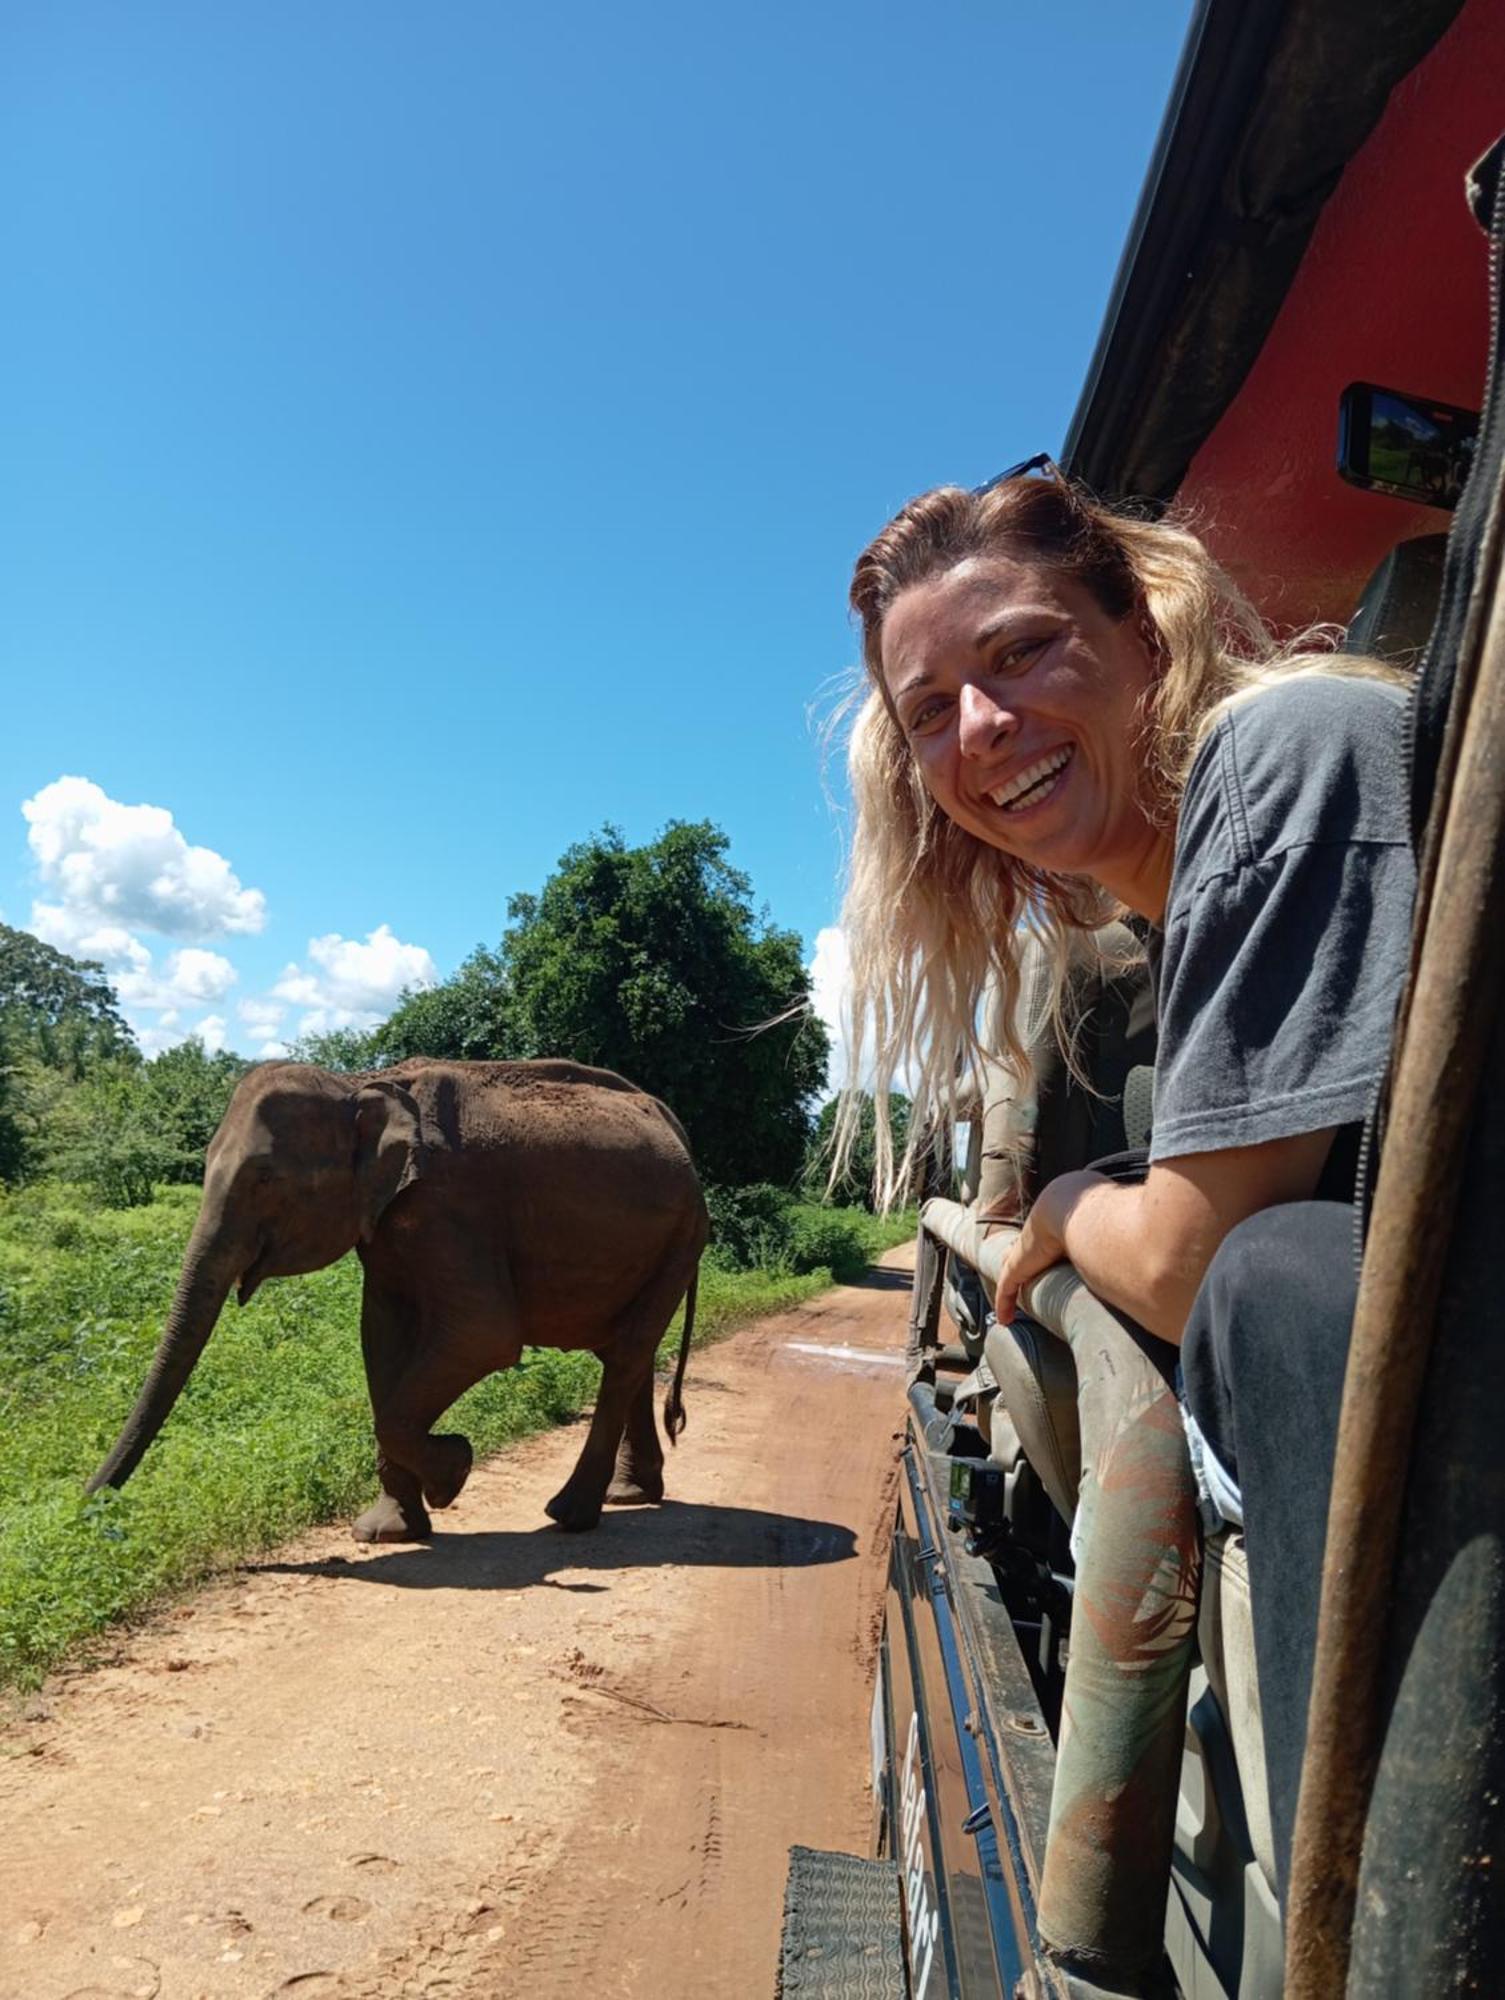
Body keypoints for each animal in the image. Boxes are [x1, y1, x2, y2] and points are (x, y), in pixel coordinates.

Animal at [86, 1056, 712, 1536]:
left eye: (265, 1178)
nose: (89, 1510)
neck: (358, 1082)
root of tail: (678, 1127)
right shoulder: (385, 1223)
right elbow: (380, 1335)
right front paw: (388, 1530)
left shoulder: (450, 1209)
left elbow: (482, 1336)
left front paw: (453, 1471)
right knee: (629, 1354)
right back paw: (629, 1496)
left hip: (683, 1236)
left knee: (625, 1354)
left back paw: (569, 1515)